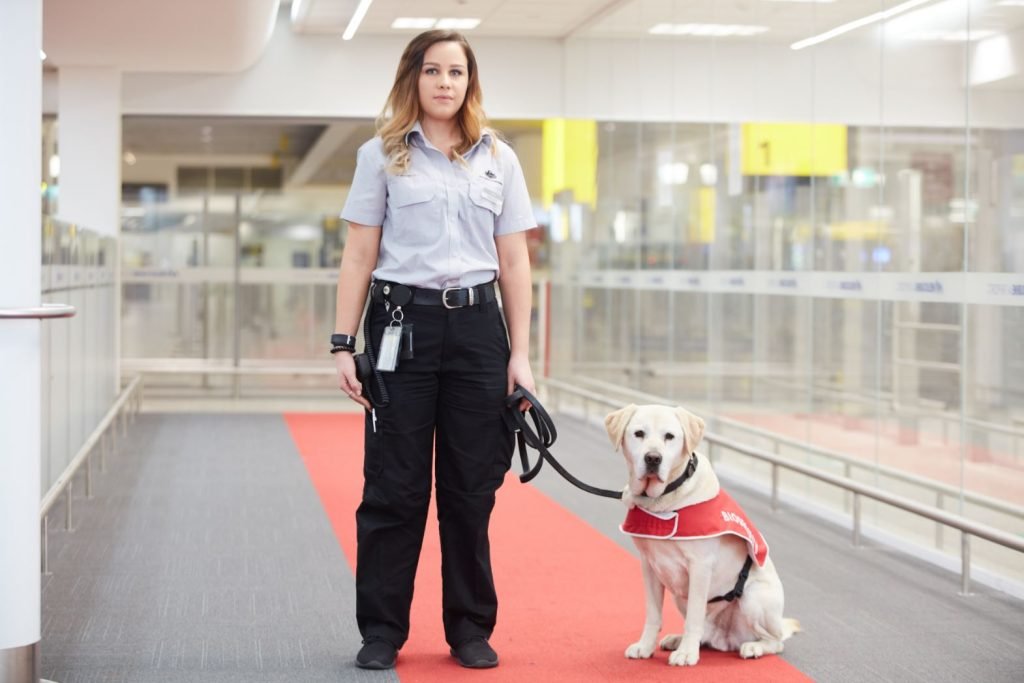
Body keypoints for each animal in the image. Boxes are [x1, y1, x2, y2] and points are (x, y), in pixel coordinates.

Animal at [602, 405, 794, 667]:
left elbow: (694, 618)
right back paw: (679, 639)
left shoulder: (700, 567)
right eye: (639, 434)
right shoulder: (649, 566)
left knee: (776, 641)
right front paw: (645, 646)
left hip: (754, 598)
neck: (663, 501)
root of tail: (726, 640)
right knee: (706, 632)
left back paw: (753, 646)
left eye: (669, 436)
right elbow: (653, 614)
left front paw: (686, 654)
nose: (653, 458)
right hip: (679, 596)